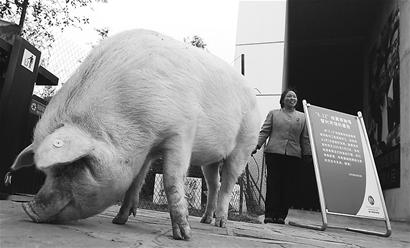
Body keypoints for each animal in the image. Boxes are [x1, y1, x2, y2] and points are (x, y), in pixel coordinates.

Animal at [8, 29, 260, 240]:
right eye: (47, 172)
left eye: (74, 165)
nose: (28, 209)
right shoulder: (147, 149)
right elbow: (136, 180)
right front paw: (119, 220)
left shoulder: (181, 132)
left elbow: (171, 181)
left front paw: (183, 236)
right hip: (211, 159)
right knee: (214, 183)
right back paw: (206, 220)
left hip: (244, 145)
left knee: (227, 184)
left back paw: (220, 223)